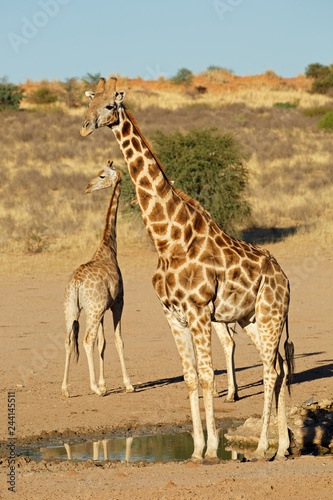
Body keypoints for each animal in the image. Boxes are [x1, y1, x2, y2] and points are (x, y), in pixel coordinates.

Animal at [61, 160, 134, 398]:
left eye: (102, 175)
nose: (87, 187)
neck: (108, 247)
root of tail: (76, 283)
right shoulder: (118, 302)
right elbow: (118, 340)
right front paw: (127, 384)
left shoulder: (103, 309)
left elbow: (103, 343)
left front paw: (104, 383)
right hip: (90, 311)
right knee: (86, 340)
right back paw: (93, 388)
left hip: (71, 309)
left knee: (69, 341)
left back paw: (65, 389)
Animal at [80, 75, 294, 460]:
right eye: (87, 103)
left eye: (109, 105)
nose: (86, 126)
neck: (168, 239)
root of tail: (285, 279)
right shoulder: (172, 314)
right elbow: (191, 377)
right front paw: (195, 449)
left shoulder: (198, 309)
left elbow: (208, 376)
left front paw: (211, 449)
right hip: (252, 319)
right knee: (280, 368)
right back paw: (282, 446)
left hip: (271, 315)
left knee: (271, 371)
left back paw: (260, 447)